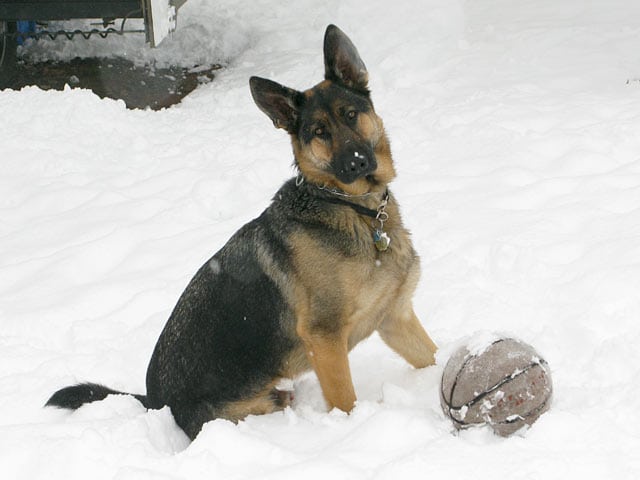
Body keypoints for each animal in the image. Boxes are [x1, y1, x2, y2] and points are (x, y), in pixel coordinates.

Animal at [43, 25, 436, 438]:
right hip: (247, 408)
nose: (357, 162)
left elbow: (433, 357)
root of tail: (155, 402)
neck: (350, 207)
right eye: (319, 132)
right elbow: (346, 402)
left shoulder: (395, 318)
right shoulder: (325, 338)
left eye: (350, 114)